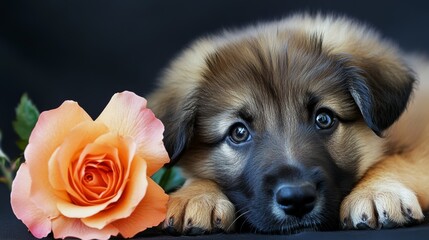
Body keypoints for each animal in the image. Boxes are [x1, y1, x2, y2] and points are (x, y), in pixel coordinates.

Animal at [147, 13, 428, 234]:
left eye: (324, 118)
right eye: (238, 133)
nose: (297, 199)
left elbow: (397, 159)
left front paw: (377, 190)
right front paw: (195, 195)